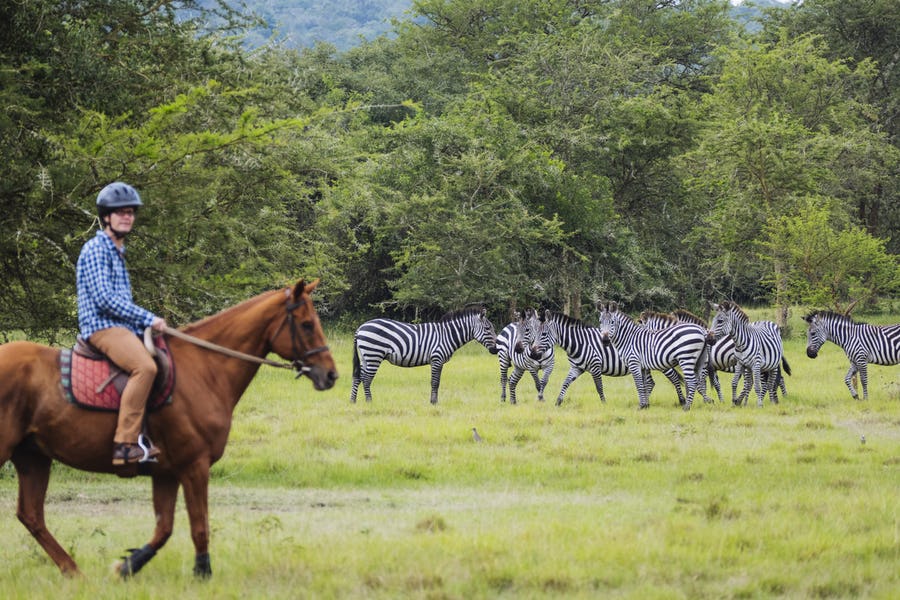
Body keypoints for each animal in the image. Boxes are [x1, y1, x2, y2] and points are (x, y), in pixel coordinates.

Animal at [350, 307, 498, 404]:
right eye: (487, 328)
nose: (496, 350)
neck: (447, 335)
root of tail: (360, 328)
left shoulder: (438, 361)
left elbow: (436, 382)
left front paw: (434, 401)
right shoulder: (437, 358)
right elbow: (435, 382)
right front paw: (433, 402)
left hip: (365, 357)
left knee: (358, 377)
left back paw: (353, 401)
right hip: (373, 355)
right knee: (366, 378)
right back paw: (369, 402)